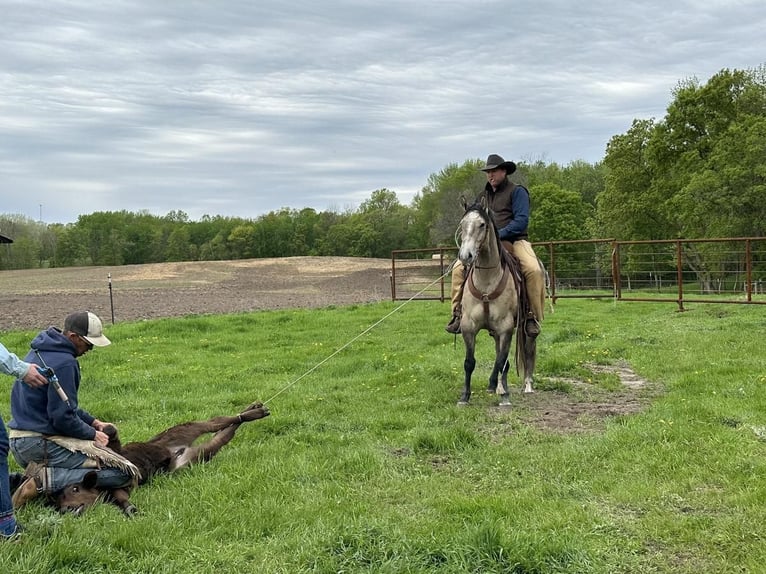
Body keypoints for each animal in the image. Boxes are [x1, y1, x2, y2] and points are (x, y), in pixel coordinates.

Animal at [54, 402, 270, 520]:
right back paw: (255, 410)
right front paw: (131, 510)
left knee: (219, 421)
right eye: (57, 500)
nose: (65, 510)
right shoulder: (121, 489)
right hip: (200, 454)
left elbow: (110, 434)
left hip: (188, 428)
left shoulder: (118, 454)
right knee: (224, 433)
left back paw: (256, 411)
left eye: (74, 489)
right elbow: (122, 499)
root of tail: (178, 450)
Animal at [460, 200, 536, 408]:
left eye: (482, 225)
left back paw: (527, 384)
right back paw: (494, 384)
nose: (466, 256)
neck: (487, 281)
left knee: (528, 347)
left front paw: (505, 396)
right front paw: (464, 396)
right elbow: (470, 362)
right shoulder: (468, 326)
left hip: (525, 327)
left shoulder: (506, 327)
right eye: (462, 224)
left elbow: (502, 361)